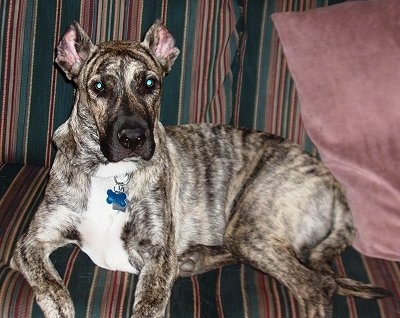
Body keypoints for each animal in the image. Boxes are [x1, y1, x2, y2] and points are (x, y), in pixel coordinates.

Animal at [10, 21, 390, 316]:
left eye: (150, 83)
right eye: (99, 87)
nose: (134, 137)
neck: (110, 173)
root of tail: (334, 183)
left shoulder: (158, 257)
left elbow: (147, 305)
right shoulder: (29, 245)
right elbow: (51, 285)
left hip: (250, 225)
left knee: (315, 284)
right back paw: (196, 259)